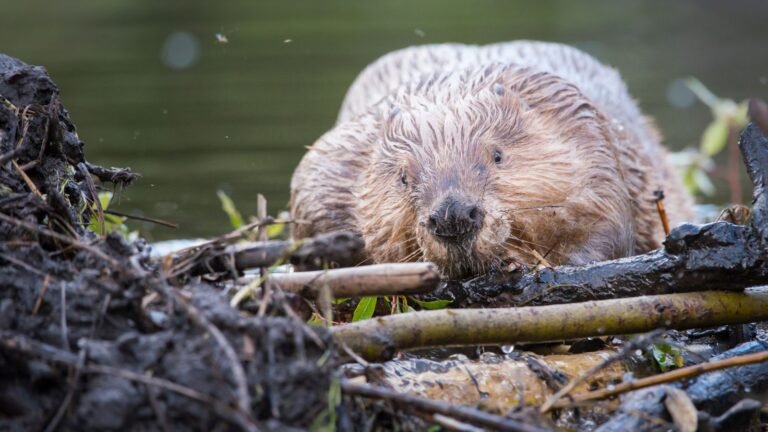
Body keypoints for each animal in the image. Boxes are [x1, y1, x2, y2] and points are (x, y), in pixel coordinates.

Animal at [290, 40, 696, 276]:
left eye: (497, 155)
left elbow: (607, 227)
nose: (453, 216)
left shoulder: (588, 135)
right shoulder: (332, 165)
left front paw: (523, 260)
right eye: (403, 178)